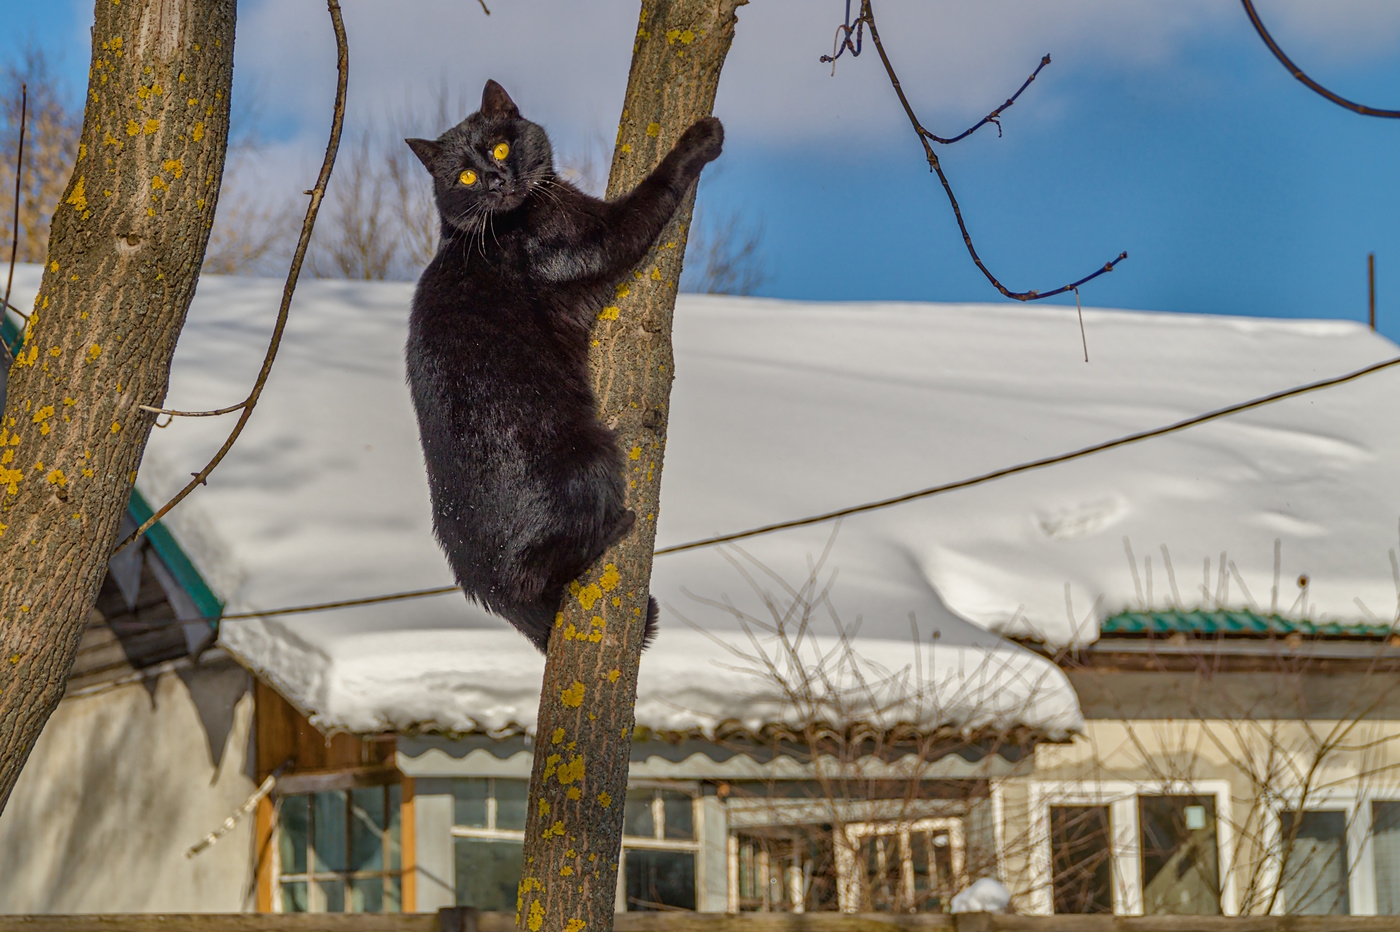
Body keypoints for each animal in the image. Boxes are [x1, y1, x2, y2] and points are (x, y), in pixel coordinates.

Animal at [403, 79, 722, 649]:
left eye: (500, 148)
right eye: (465, 176)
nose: (495, 179)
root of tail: (483, 584)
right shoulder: (598, 236)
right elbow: (654, 191)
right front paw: (701, 139)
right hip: (590, 458)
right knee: (547, 568)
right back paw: (618, 526)